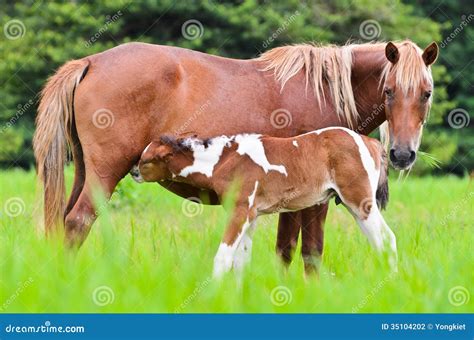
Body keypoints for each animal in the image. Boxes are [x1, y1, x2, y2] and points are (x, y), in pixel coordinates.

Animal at [132, 127, 396, 276]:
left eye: (147, 160)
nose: (133, 172)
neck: (225, 161)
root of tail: (370, 142)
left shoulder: (240, 212)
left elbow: (223, 258)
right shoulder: (252, 215)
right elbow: (241, 260)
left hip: (360, 202)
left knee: (384, 239)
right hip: (356, 206)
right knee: (383, 240)